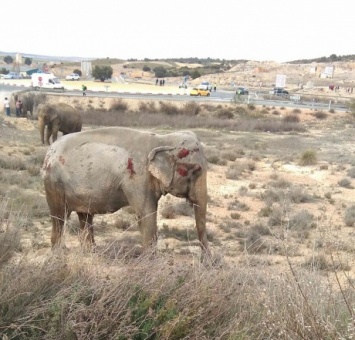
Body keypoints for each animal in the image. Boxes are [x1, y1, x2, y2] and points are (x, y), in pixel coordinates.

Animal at [41, 126, 211, 256]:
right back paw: (58, 254)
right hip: (54, 184)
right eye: (195, 170)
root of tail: (49, 152)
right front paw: (152, 261)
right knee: (59, 216)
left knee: (85, 216)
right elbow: (146, 214)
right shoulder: (138, 178)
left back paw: (90, 253)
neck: (162, 140)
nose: (206, 261)